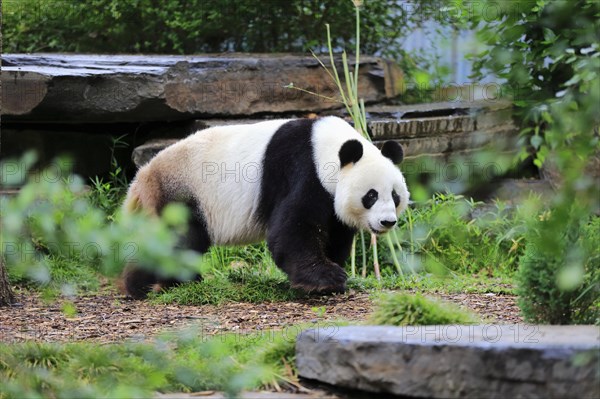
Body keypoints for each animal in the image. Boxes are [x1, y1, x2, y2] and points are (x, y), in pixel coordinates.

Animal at [124, 115, 410, 296]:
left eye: (395, 196)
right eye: (371, 195)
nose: (387, 222)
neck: (327, 146)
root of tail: (142, 177)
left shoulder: (331, 198)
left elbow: (335, 233)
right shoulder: (303, 170)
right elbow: (293, 229)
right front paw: (326, 280)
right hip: (183, 196)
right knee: (177, 241)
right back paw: (150, 287)